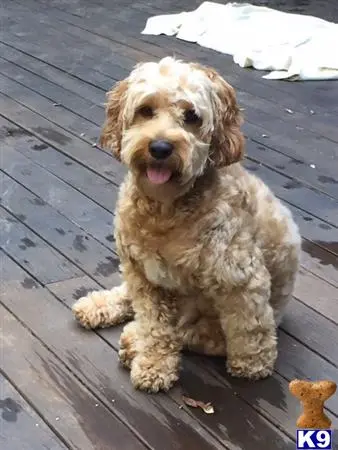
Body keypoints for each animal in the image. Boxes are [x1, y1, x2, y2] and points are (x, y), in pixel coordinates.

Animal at [72, 56, 302, 392]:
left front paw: (253, 365)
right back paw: (98, 307)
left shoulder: (242, 279)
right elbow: (154, 327)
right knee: (132, 301)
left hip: (207, 323)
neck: (165, 210)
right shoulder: (143, 275)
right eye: (146, 110)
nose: (160, 148)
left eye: (192, 116)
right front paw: (154, 365)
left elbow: (249, 328)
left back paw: (131, 341)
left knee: (190, 334)